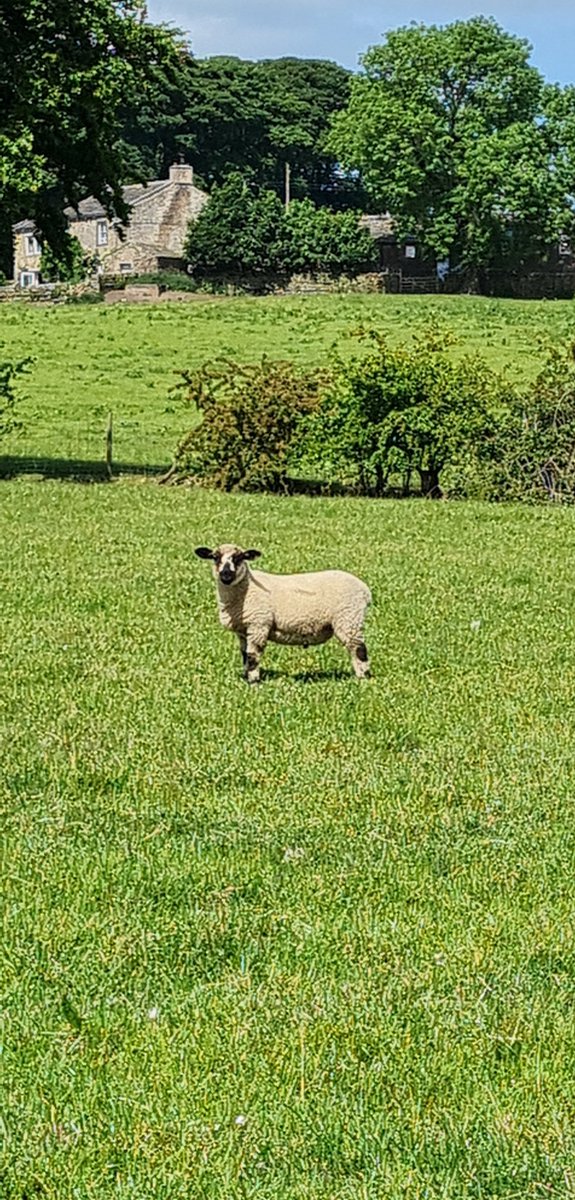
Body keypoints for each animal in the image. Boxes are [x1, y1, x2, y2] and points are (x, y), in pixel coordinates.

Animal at [195, 542, 372, 684]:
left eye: (239, 558)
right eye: (215, 557)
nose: (225, 575)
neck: (247, 588)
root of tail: (365, 590)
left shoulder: (259, 624)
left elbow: (253, 656)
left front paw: (254, 682)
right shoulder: (243, 631)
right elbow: (244, 654)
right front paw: (246, 677)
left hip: (349, 618)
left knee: (358, 649)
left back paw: (363, 677)